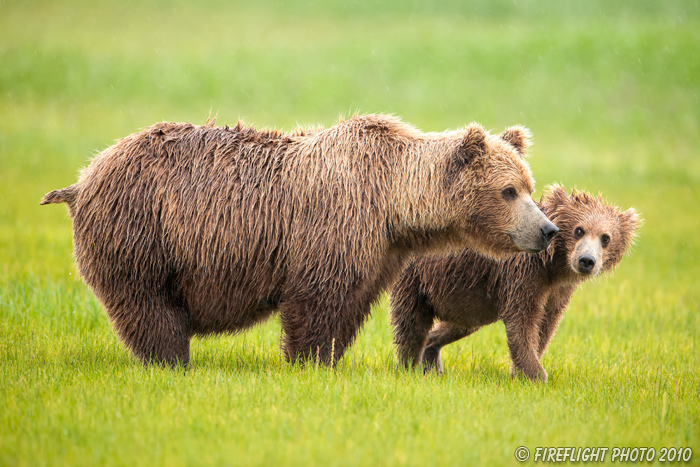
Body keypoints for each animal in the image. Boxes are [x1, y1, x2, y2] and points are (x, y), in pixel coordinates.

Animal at [43, 114, 556, 370]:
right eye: (508, 190)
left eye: (528, 185)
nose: (547, 230)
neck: (393, 201)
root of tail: (84, 177)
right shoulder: (333, 225)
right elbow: (315, 301)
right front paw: (306, 360)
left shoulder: (377, 251)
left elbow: (350, 304)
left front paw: (328, 358)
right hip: (144, 232)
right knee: (149, 306)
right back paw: (171, 360)